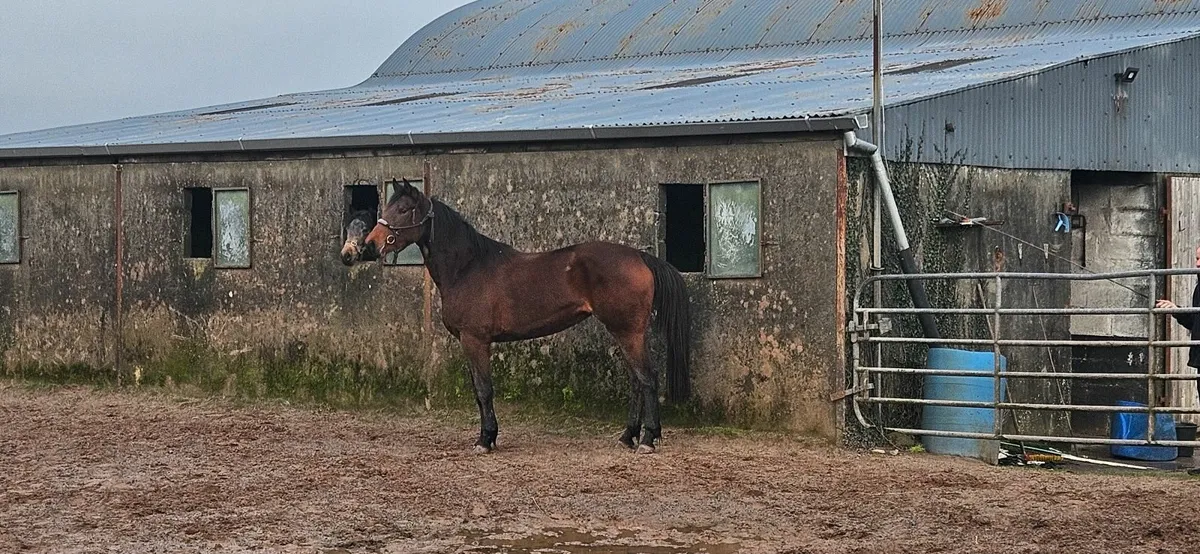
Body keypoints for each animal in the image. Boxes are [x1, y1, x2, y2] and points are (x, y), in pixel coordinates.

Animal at [350, 179, 691, 454]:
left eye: (404, 209)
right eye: (388, 206)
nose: (370, 244)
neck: (468, 267)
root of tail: (640, 257)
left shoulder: (475, 340)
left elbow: (484, 389)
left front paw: (486, 440)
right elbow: (479, 391)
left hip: (628, 331)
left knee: (647, 379)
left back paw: (647, 439)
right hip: (623, 332)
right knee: (636, 382)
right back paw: (627, 436)